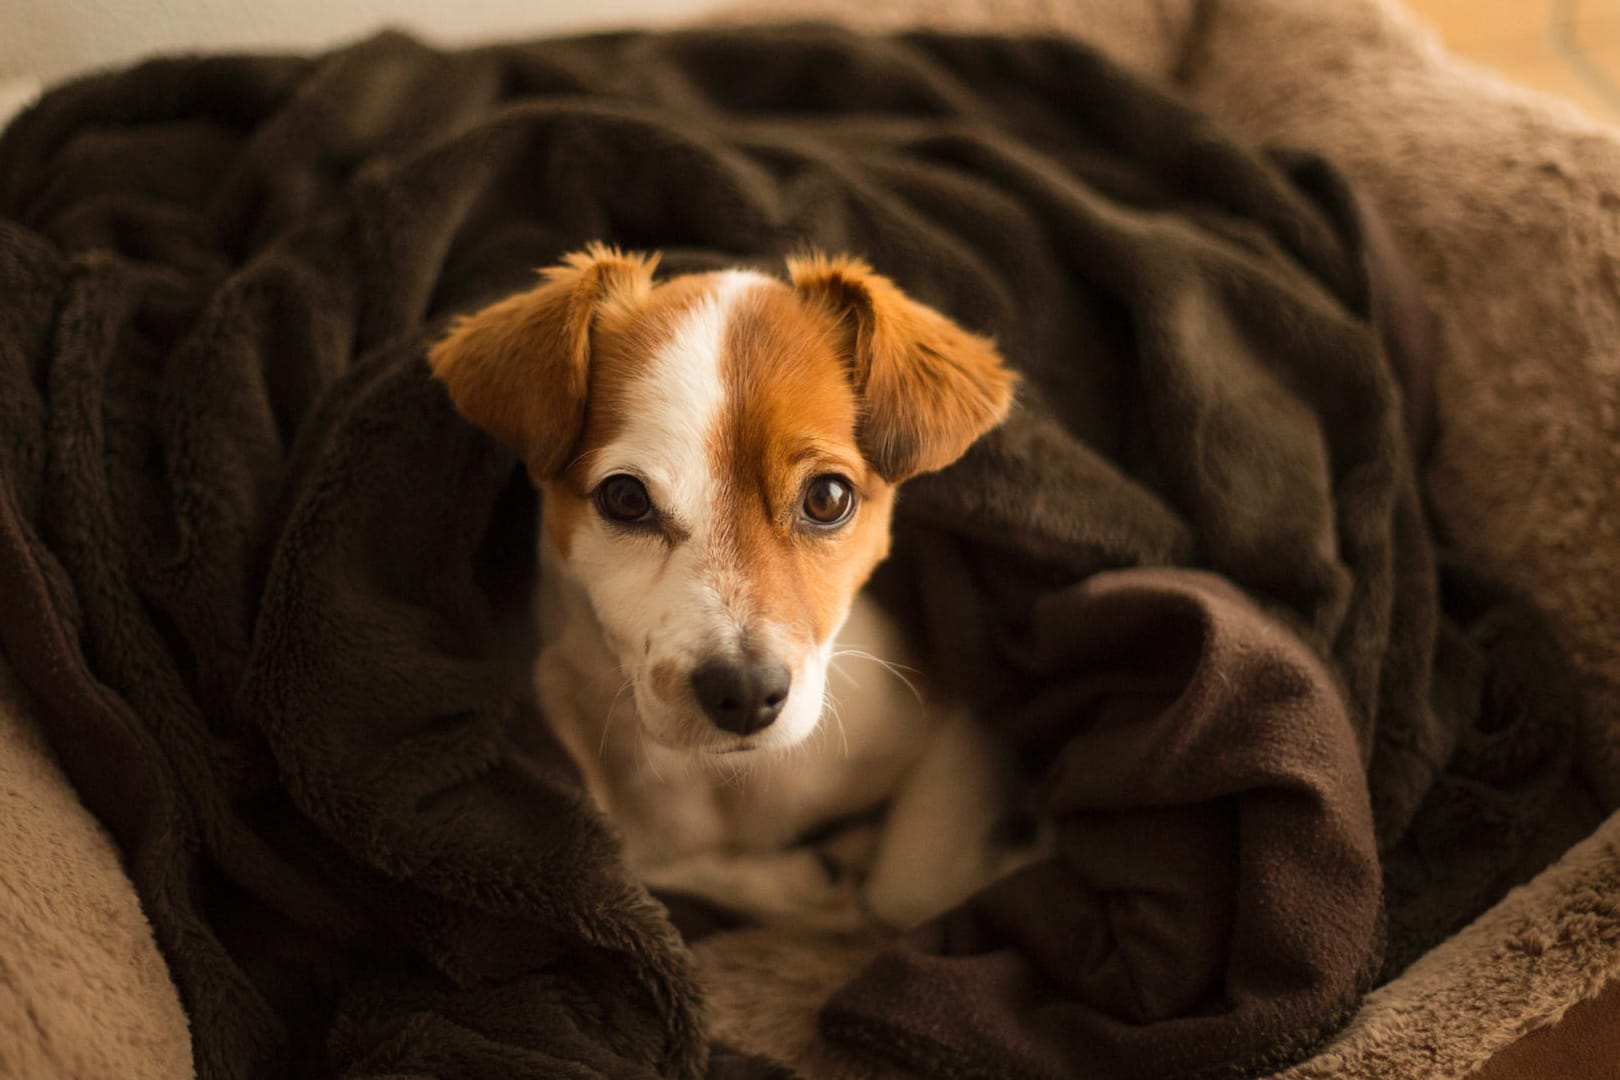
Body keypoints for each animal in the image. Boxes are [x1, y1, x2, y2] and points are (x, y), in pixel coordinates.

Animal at [430, 244, 1036, 932]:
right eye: (625, 497)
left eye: (828, 498)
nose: (745, 693)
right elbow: (637, 861)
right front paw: (807, 883)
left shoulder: (962, 724)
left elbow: (906, 893)